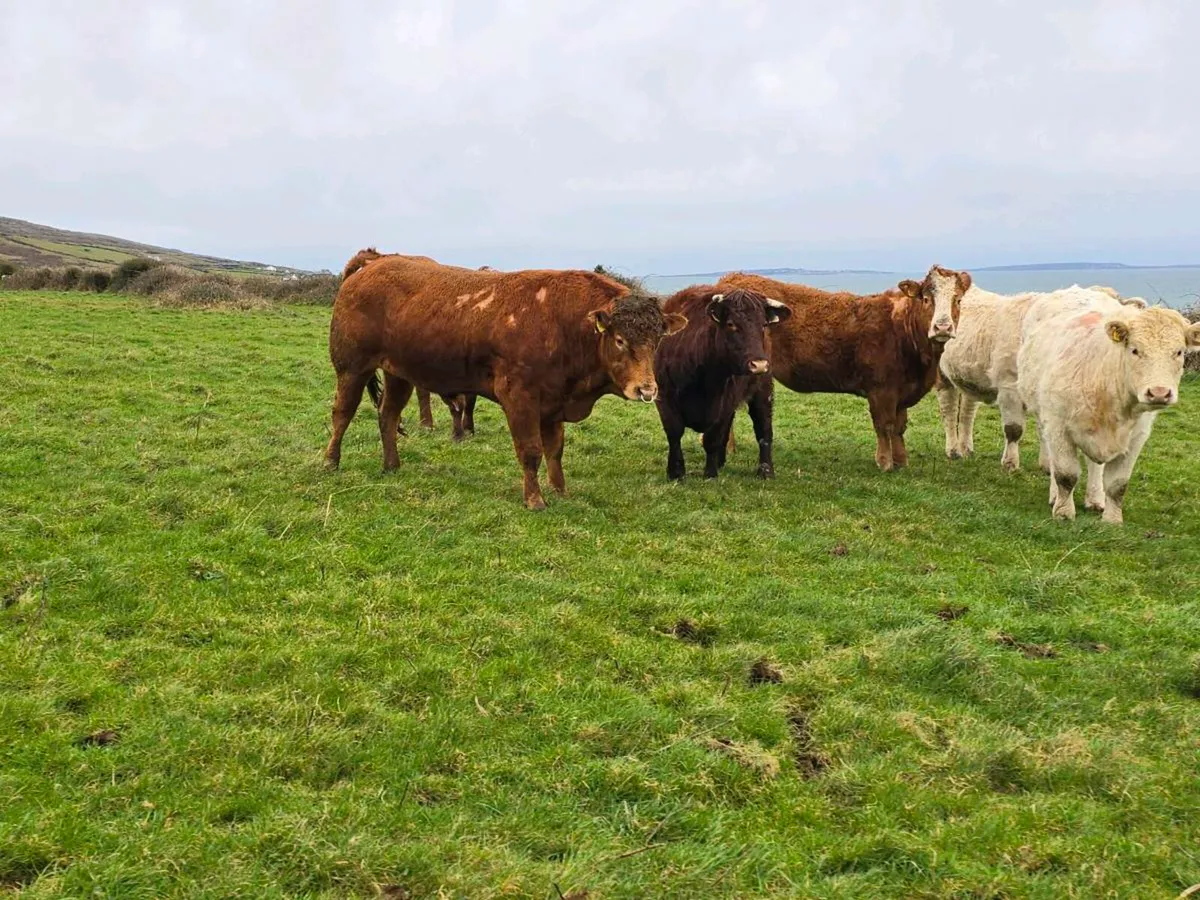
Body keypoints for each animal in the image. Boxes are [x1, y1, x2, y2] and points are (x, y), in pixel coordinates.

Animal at [326, 253, 687, 509]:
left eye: (657, 339)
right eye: (620, 340)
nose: (646, 389)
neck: (564, 324)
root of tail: (371, 266)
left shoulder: (554, 403)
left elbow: (555, 450)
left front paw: (560, 491)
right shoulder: (520, 398)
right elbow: (531, 451)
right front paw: (535, 500)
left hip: (399, 373)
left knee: (387, 416)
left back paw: (391, 465)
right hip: (352, 367)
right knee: (342, 414)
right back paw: (331, 461)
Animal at [653, 286, 791, 480]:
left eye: (763, 325)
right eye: (731, 324)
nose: (759, 364)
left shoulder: (724, 404)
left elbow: (712, 438)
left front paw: (710, 474)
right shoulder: (664, 397)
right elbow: (674, 433)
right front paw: (676, 472)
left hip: (763, 391)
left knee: (763, 429)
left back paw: (765, 471)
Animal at [717, 266, 972, 471]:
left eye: (958, 300)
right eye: (927, 299)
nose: (942, 327)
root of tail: (733, 278)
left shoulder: (902, 391)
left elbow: (899, 427)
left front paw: (901, 461)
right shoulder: (881, 390)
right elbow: (884, 426)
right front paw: (885, 462)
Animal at [936, 284, 1141, 473]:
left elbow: (1044, 430)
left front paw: (1047, 465)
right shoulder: (1008, 386)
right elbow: (1014, 429)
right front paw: (1010, 463)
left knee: (967, 411)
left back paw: (966, 448)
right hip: (941, 375)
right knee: (949, 410)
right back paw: (953, 450)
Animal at [1018, 297, 1200, 523]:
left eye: (1179, 352)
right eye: (1135, 350)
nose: (1159, 392)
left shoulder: (1136, 437)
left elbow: (1118, 484)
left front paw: (1112, 520)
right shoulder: (1057, 427)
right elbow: (1065, 475)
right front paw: (1063, 513)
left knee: (1095, 465)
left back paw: (1095, 499)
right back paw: (1055, 496)